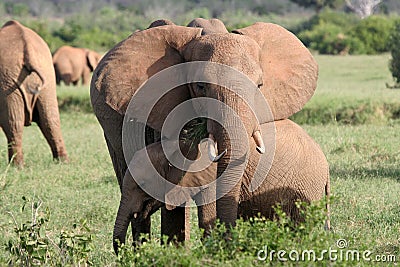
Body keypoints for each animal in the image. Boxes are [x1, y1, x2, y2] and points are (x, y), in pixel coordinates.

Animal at [0, 20, 68, 168]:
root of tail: (27, 50)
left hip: (7, 80)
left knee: (13, 123)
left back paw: (16, 167)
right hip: (46, 74)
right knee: (51, 119)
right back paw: (63, 162)